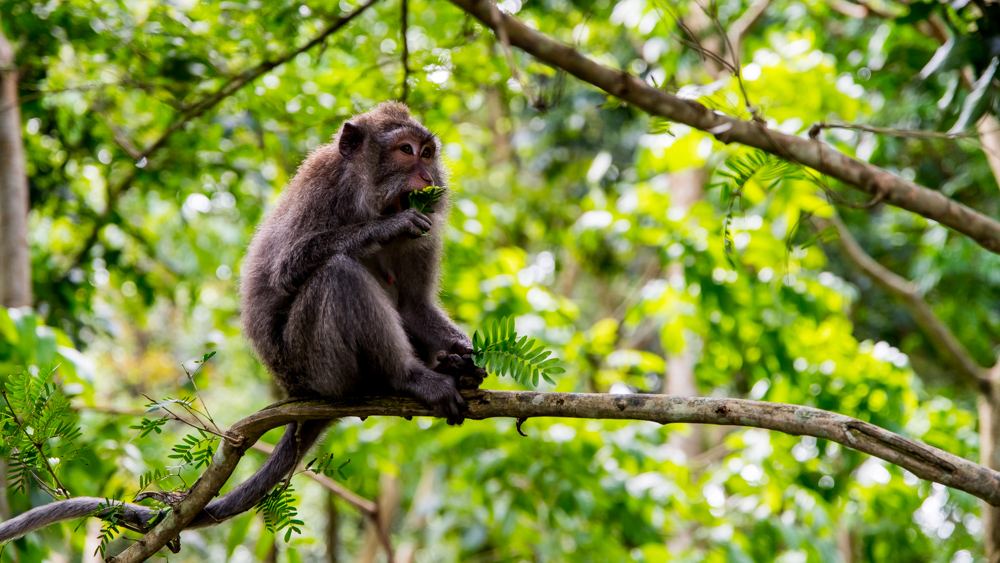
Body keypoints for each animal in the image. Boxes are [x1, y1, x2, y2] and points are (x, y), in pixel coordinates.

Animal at [0, 103, 484, 544]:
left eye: (428, 152)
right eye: (405, 151)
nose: (429, 180)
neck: (368, 199)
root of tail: (296, 392)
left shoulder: (427, 231)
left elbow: (414, 305)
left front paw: (464, 356)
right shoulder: (324, 191)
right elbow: (286, 270)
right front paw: (386, 228)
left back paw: (447, 369)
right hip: (318, 367)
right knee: (337, 273)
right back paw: (407, 377)